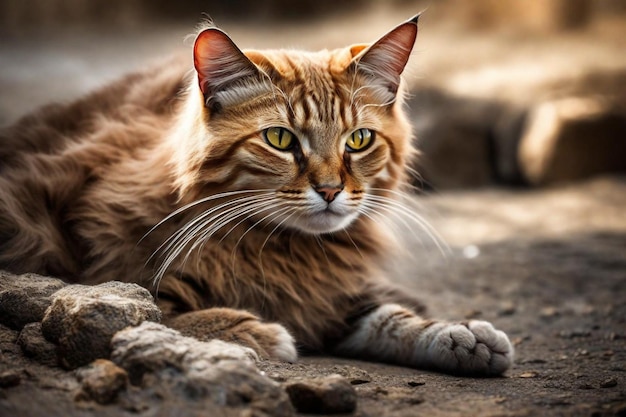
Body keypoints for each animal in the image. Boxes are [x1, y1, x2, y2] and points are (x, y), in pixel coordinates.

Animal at [0, 15, 512, 374]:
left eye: (359, 140)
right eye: (281, 139)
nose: (331, 189)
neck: (283, 250)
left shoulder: (328, 296)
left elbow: (388, 315)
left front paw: (459, 334)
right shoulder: (113, 273)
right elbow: (152, 313)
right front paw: (253, 331)